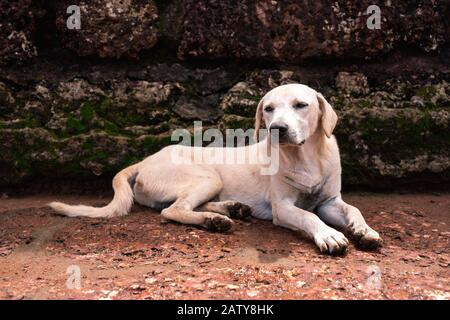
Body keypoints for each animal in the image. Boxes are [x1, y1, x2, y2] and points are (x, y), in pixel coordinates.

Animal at [49, 84, 382, 254]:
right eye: (268, 109)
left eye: (302, 105)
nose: (277, 128)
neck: (306, 158)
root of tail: (145, 161)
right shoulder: (284, 208)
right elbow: (308, 216)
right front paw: (329, 235)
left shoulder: (331, 201)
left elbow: (353, 210)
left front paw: (363, 230)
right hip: (207, 177)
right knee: (172, 210)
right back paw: (214, 220)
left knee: (185, 205)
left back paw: (231, 210)